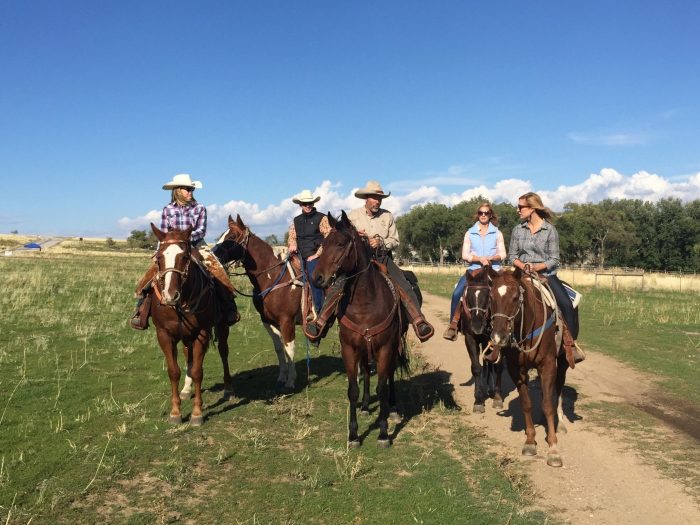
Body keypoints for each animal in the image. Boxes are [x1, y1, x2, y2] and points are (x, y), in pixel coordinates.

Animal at [150, 224, 232, 426]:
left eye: (185, 257)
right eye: (159, 257)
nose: (170, 296)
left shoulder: (202, 333)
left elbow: (197, 371)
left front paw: (197, 413)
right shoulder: (164, 334)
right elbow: (174, 371)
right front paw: (175, 412)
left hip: (221, 327)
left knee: (223, 352)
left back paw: (228, 389)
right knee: (188, 355)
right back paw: (186, 390)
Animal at [212, 214, 302, 392]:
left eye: (231, 238)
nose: (211, 255)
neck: (272, 277)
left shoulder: (287, 320)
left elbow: (289, 348)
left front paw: (290, 381)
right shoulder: (268, 321)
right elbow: (279, 348)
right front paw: (282, 377)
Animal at [312, 209, 404, 446]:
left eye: (341, 243)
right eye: (323, 243)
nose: (317, 278)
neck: (365, 304)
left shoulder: (385, 348)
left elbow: (382, 387)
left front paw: (383, 432)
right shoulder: (350, 349)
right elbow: (352, 389)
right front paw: (353, 435)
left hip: (393, 346)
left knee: (390, 375)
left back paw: (393, 408)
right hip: (364, 349)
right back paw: (364, 406)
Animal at [460, 268, 504, 412]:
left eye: (488, 296)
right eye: (468, 297)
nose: (477, 325)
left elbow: (497, 365)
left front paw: (497, 397)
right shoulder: (470, 338)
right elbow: (476, 368)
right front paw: (478, 400)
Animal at [486, 268, 568, 464]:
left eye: (515, 297)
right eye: (491, 297)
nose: (498, 337)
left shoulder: (548, 364)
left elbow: (547, 404)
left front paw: (553, 447)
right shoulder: (517, 369)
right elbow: (526, 403)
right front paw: (530, 441)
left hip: (562, 361)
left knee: (559, 387)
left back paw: (560, 422)